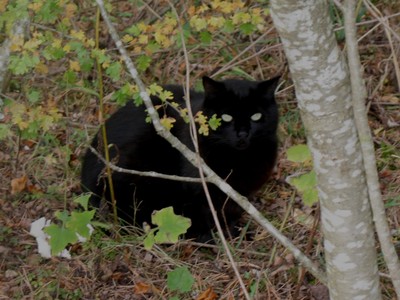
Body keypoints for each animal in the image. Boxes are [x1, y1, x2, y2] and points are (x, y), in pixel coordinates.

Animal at [81, 77, 280, 241]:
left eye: (256, 116)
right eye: (226, 117)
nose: (243, 134)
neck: (238, 160)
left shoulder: (238, 194)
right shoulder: (200, 191)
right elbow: (208, 216)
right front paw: (221, 237)